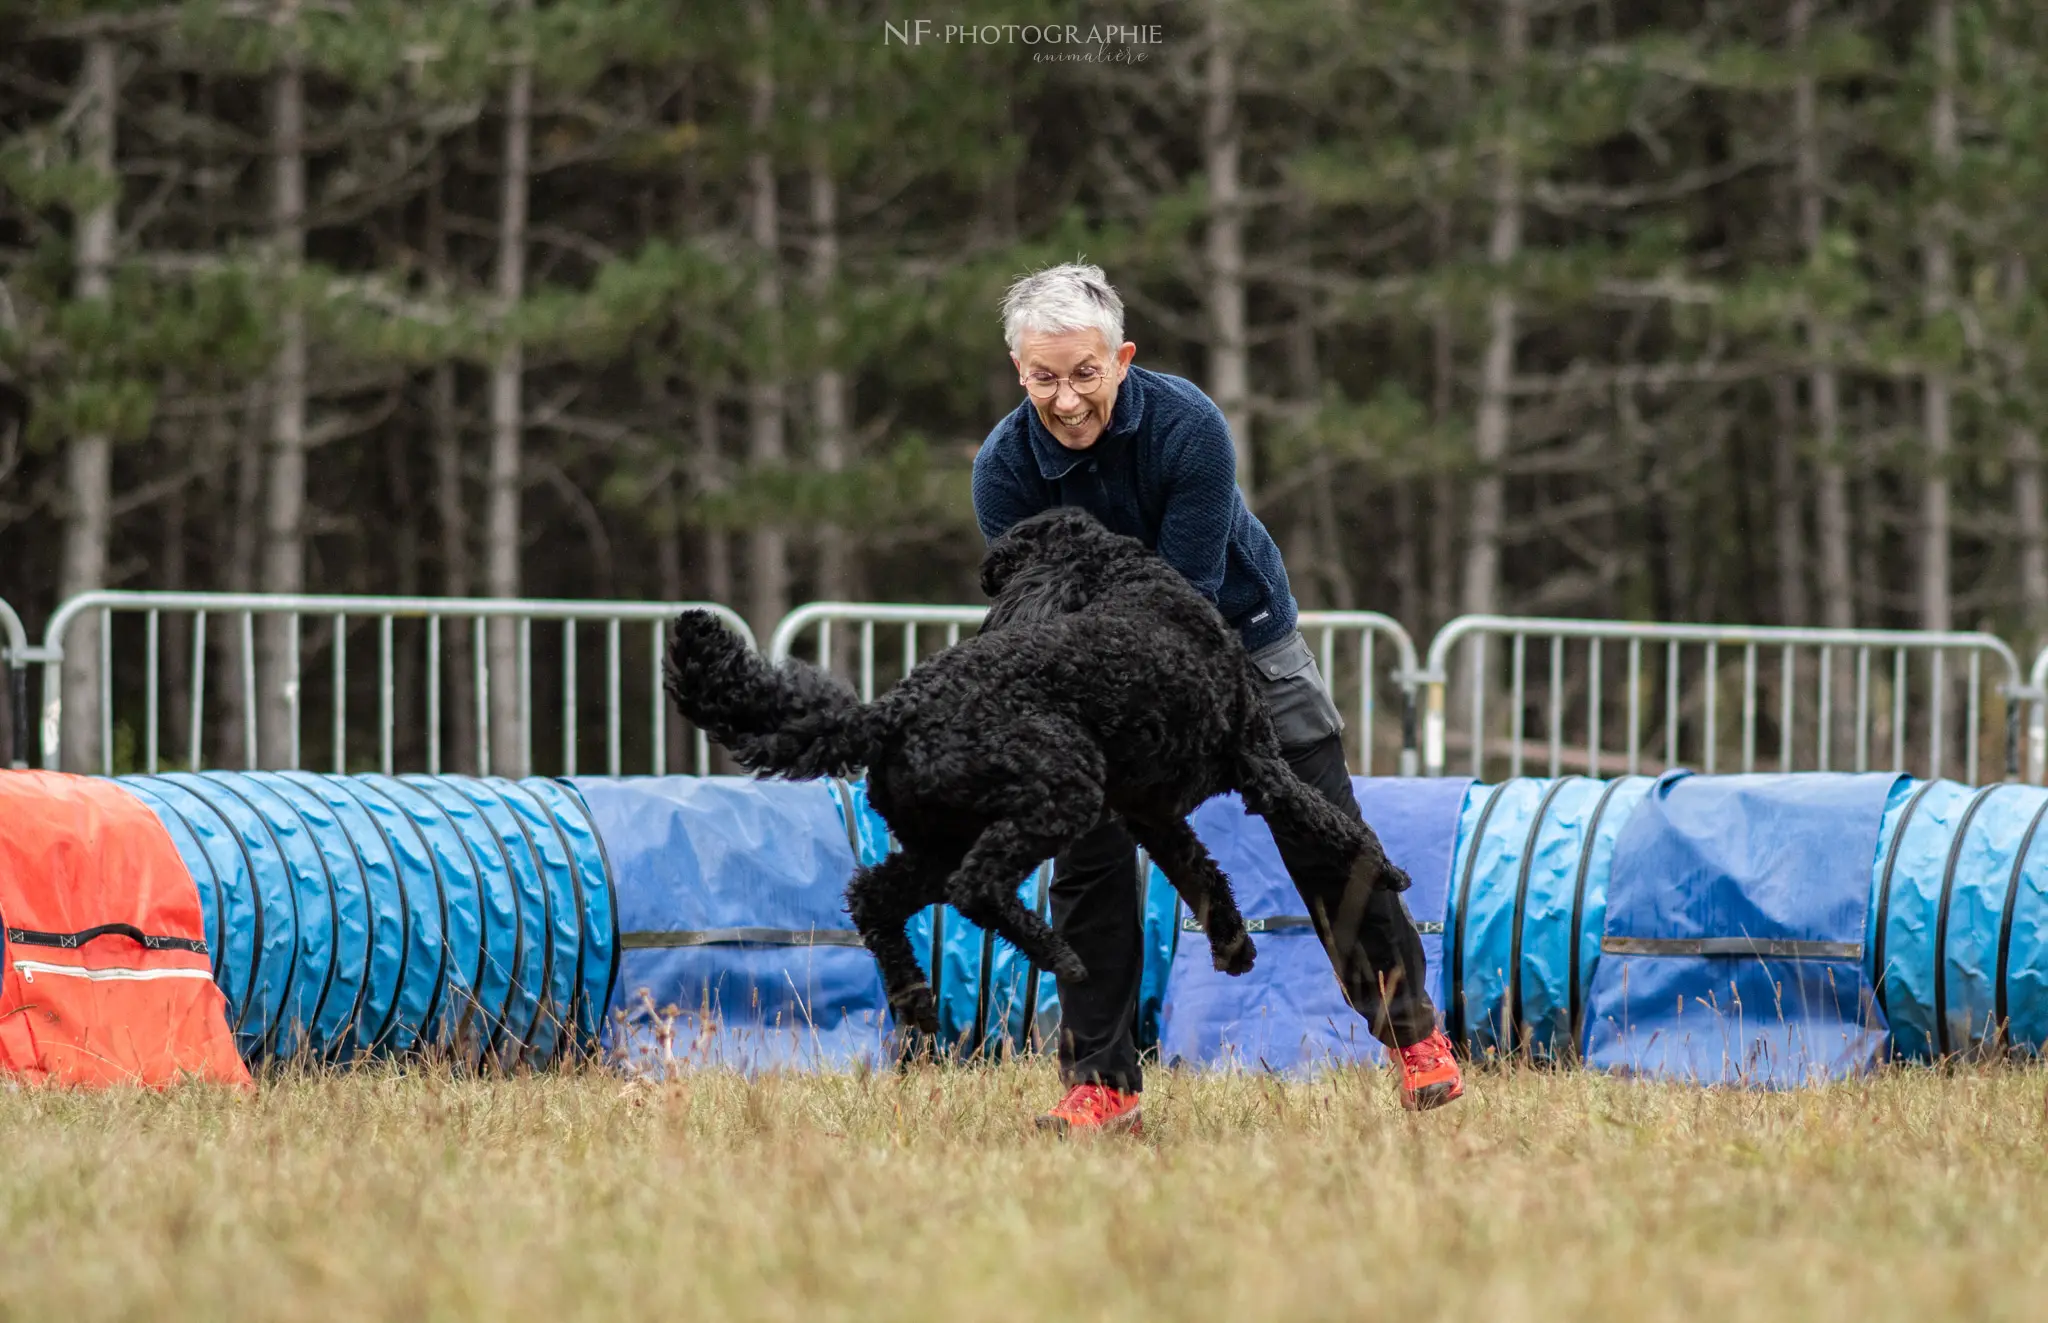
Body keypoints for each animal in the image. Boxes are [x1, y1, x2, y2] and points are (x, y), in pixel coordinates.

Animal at [663, 507, 1417, 1036]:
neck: (1132, 582)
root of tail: (892, 712)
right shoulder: (1260, 767)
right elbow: (1330, 822)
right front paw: (1387, 868)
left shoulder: (1153, 814)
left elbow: (1200, 873)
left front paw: (1232, 943)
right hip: (1055, 793)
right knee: (976, 888)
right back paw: (1059, 957)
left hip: (939, 839)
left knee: (872, 897)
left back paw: (917, 998)